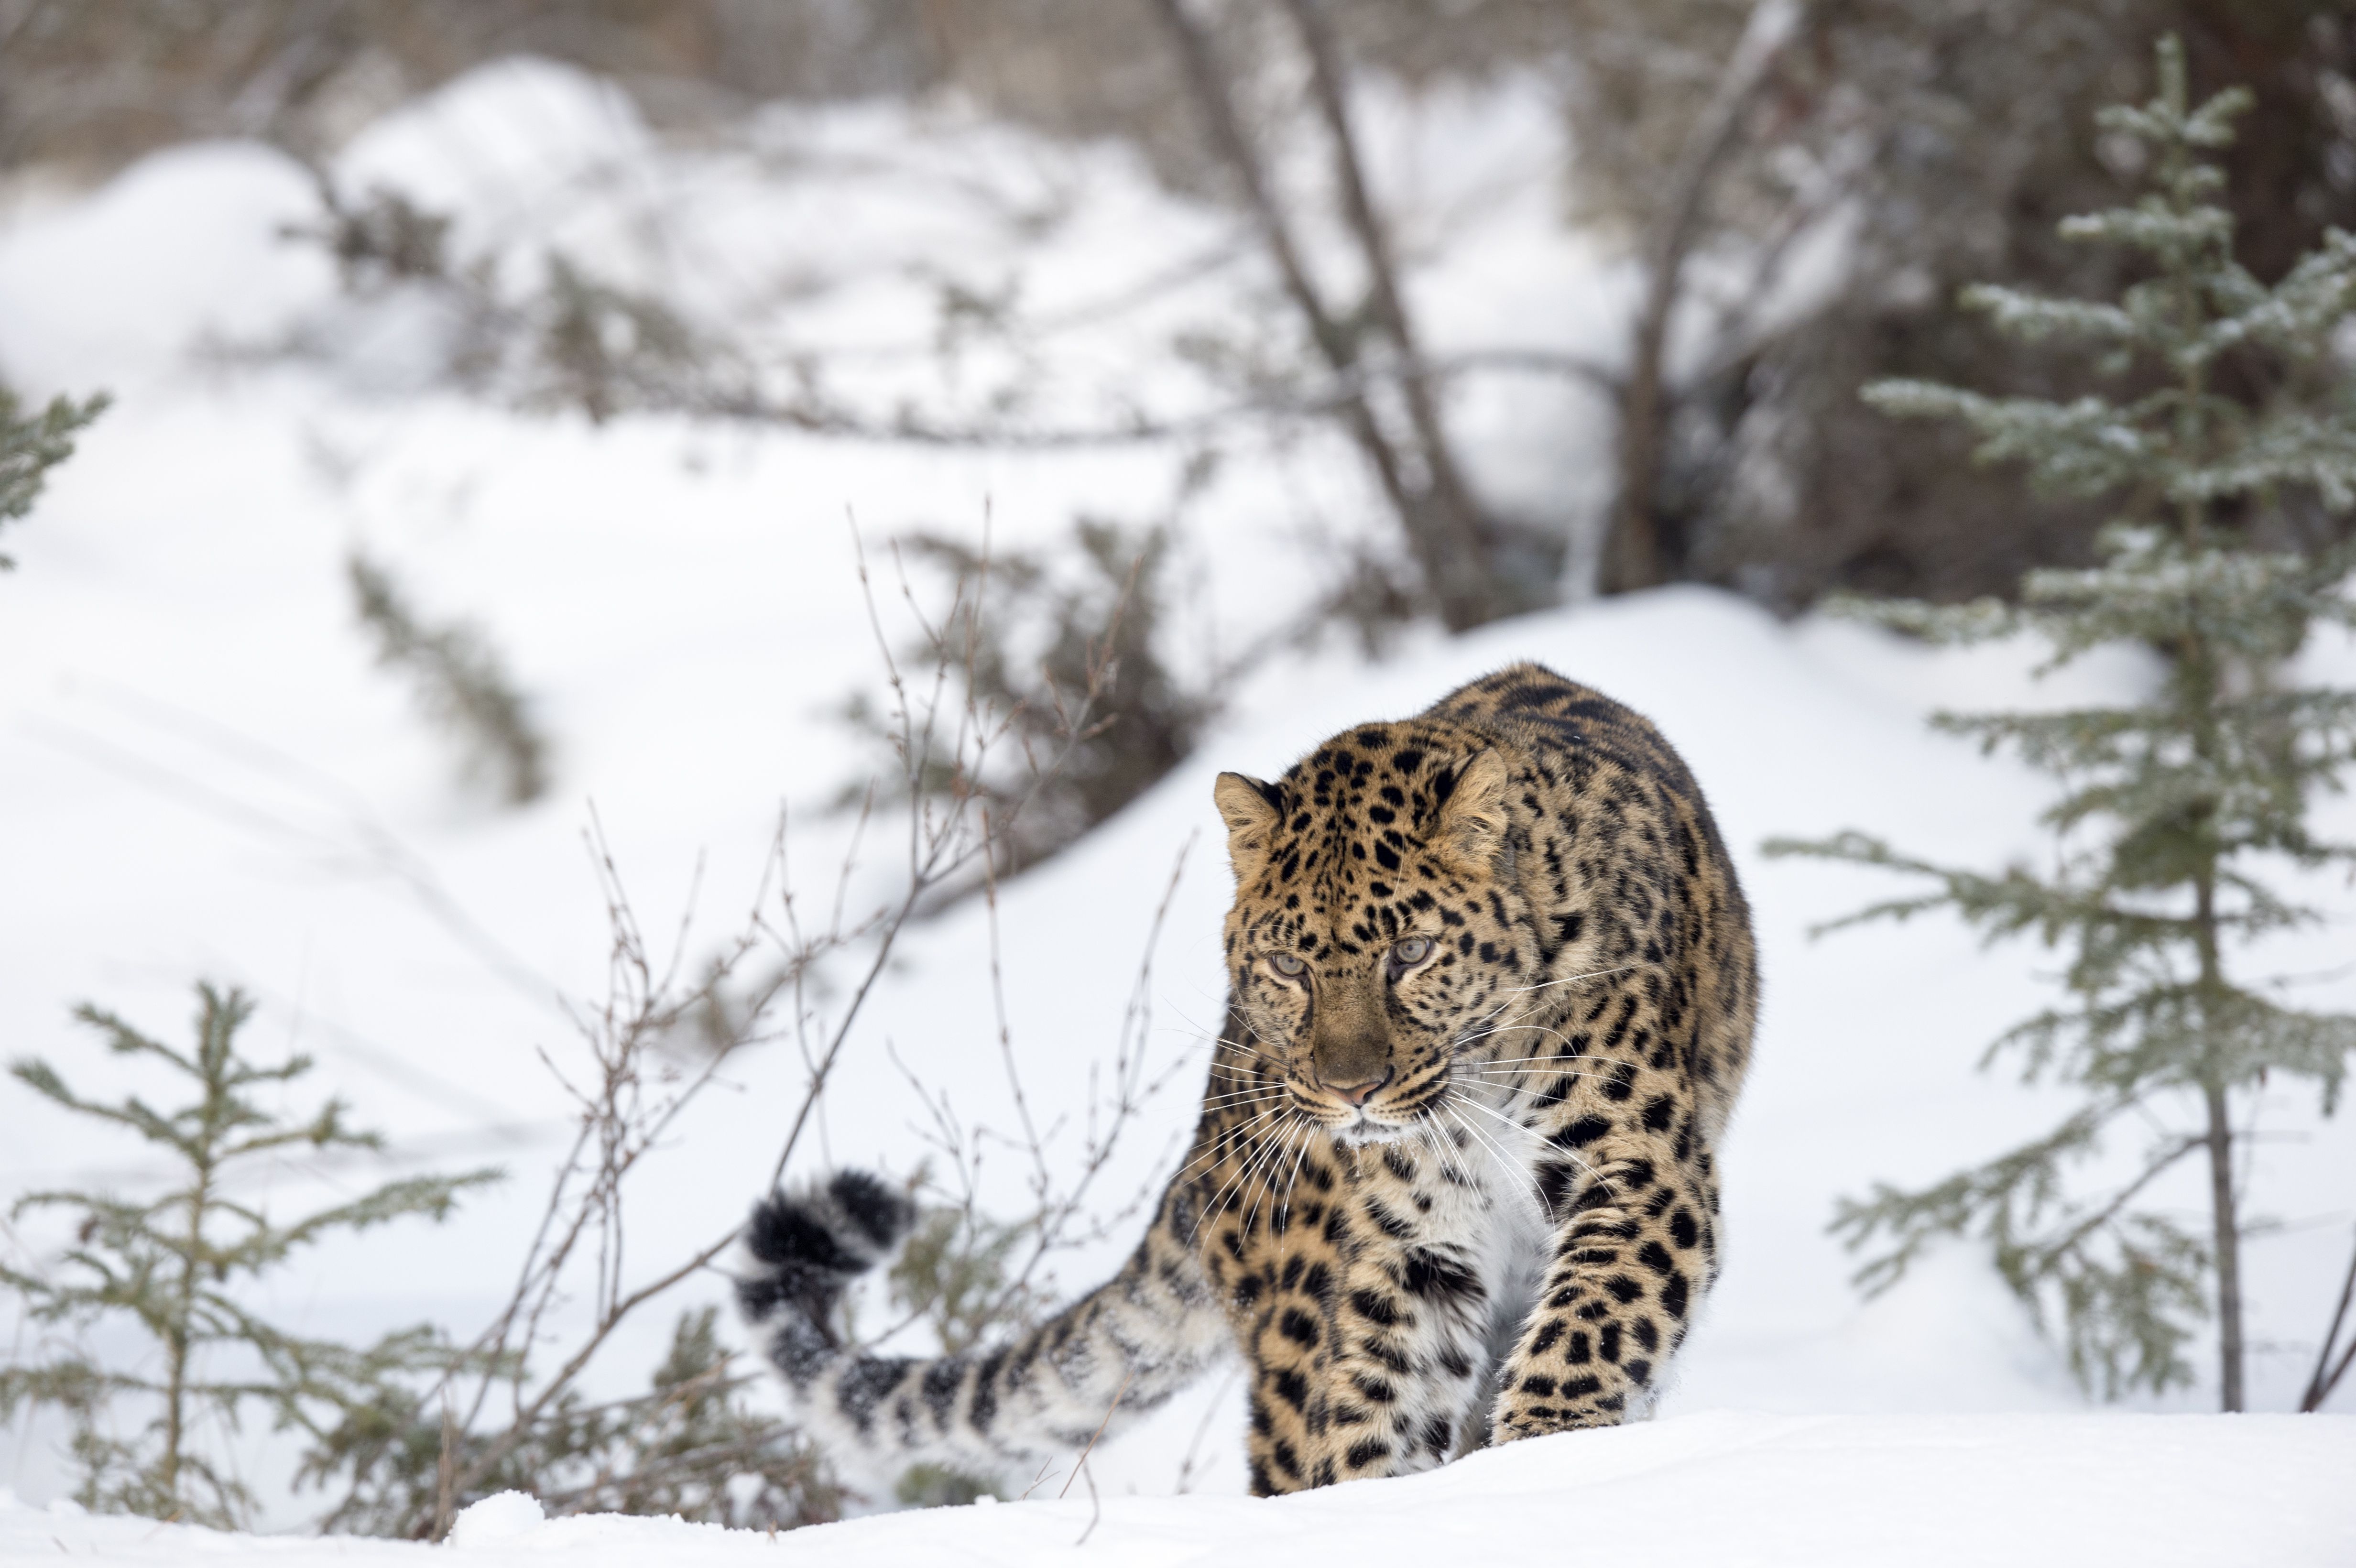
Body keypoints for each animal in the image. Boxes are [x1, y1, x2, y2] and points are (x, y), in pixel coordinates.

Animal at [735, 659, 1753, 1488]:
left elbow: (1589, 1323)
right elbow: (1381, 1399)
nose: (1349, 1092)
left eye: (1411, 953)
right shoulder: (1415, 1242)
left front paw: (1543, 1457)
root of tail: (1203, 1143)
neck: (1477, 1087)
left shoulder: (1636, 1169)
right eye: (1290, 966)